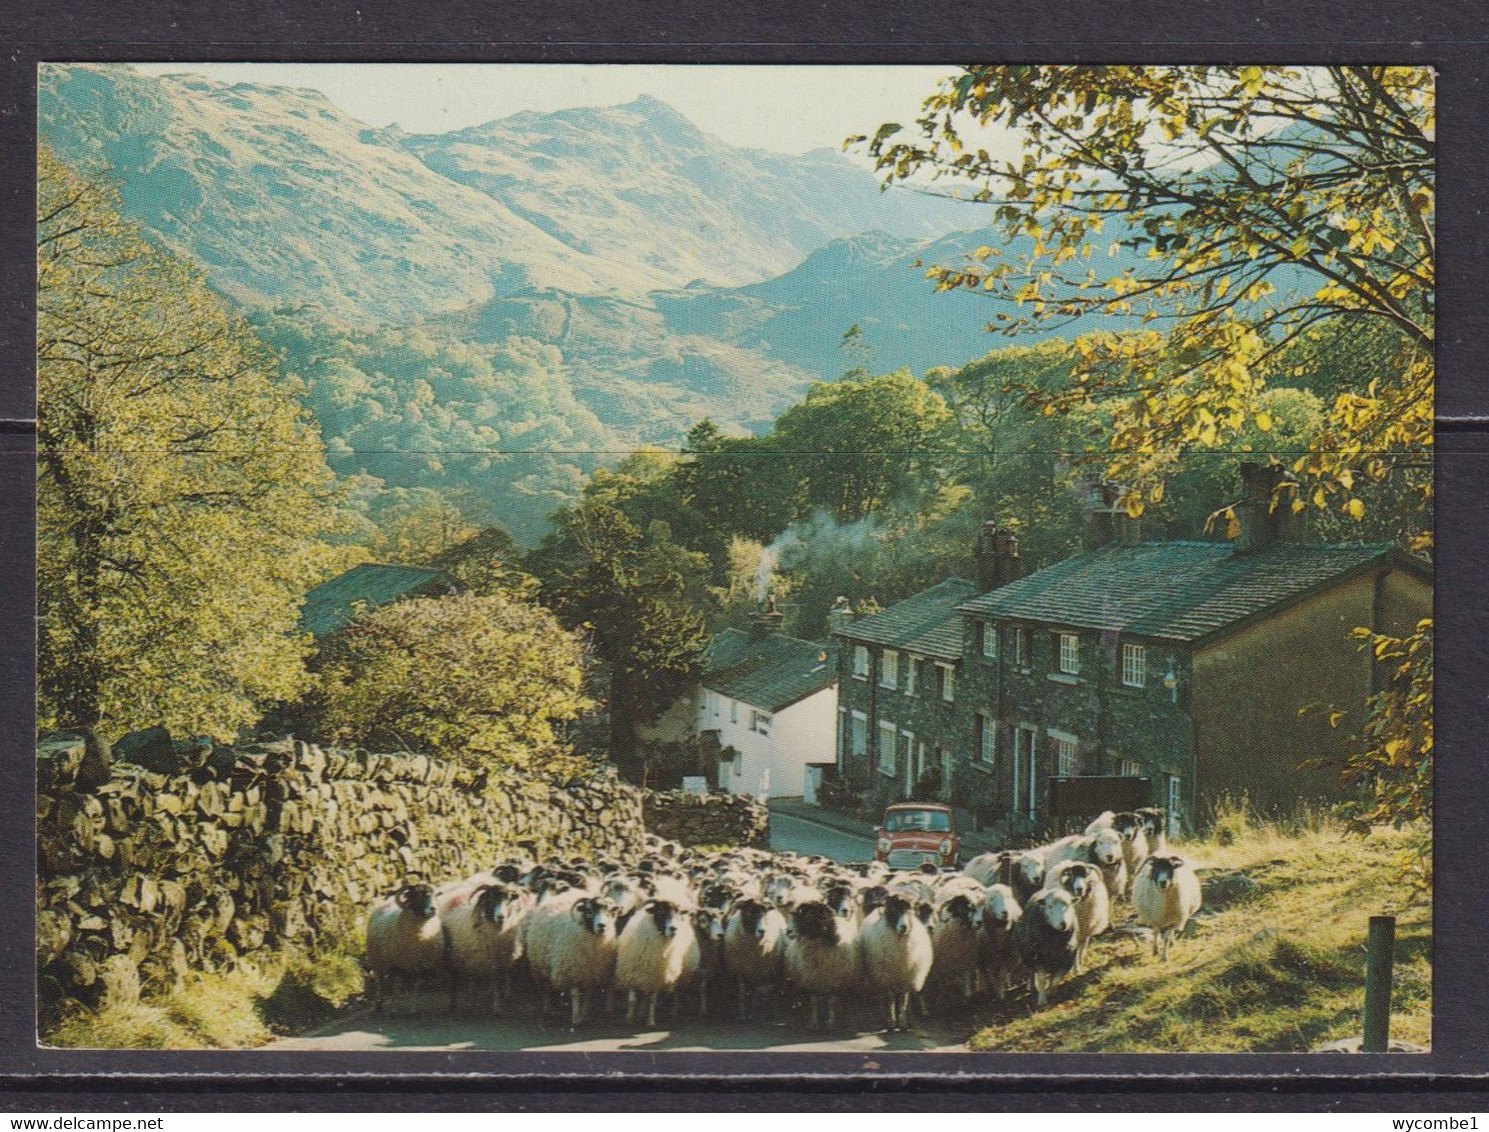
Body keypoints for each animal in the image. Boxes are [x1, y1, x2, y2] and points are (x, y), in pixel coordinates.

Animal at [363, 881, 443, 1012]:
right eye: (418, 895)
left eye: (434, 895)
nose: (433, 909)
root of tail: (387, 901)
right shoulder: (397, 964)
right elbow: (396, 986)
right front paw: (394, 1008)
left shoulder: (420, 966)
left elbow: (416, 986)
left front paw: (413, 1009)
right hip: (378, 961)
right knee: (381, 981)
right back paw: (379, 1005)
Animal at [437, 881, 533, 1012]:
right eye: (491, 898)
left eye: (509, 899)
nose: (501, 917)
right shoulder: (484, 959)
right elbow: (491, 982)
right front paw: (492, 1006)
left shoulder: (500, 961)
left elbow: (498, 983)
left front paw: (498, 1003)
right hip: (454, 954)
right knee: (455, 978)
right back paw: (456, 1003)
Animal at [780, 899, 863, 1030]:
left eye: (809, 915)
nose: (788, 931)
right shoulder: (811, 978)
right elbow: (814, 1002)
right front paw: (814, 1022)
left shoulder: (834, 980)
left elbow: (831, 1001)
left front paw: (831, 1022)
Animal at [863, 893, 929, 1036]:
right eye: (894, 909)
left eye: (911, 910)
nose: (904, 927)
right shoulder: (886, 976)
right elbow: (890, 1000)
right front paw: (891, 1024)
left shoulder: (907, 976)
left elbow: (904, 999)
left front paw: (903, 1024)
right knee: (884, 998)